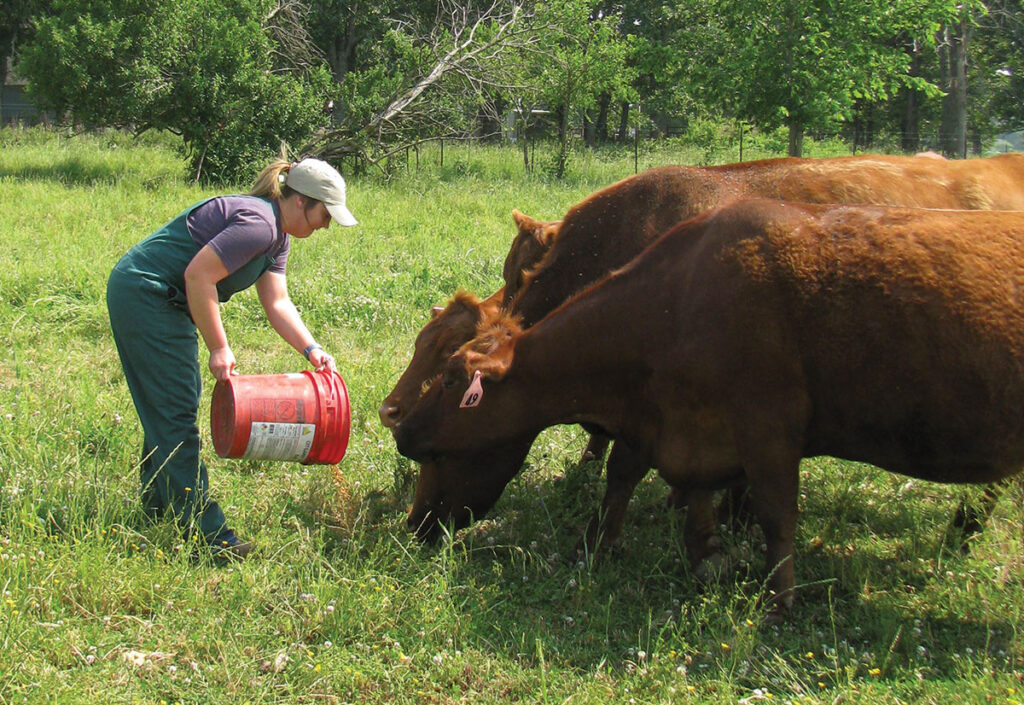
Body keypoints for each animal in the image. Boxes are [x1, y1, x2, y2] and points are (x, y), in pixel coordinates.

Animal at [393, 198, 1024, 614]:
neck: (677, 304)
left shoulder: (769, 432)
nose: (399, 428)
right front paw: (636, 548)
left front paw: (779, 603)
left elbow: (777, 515)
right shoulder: (676, 426)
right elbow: (638, 479)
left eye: (451, 379)